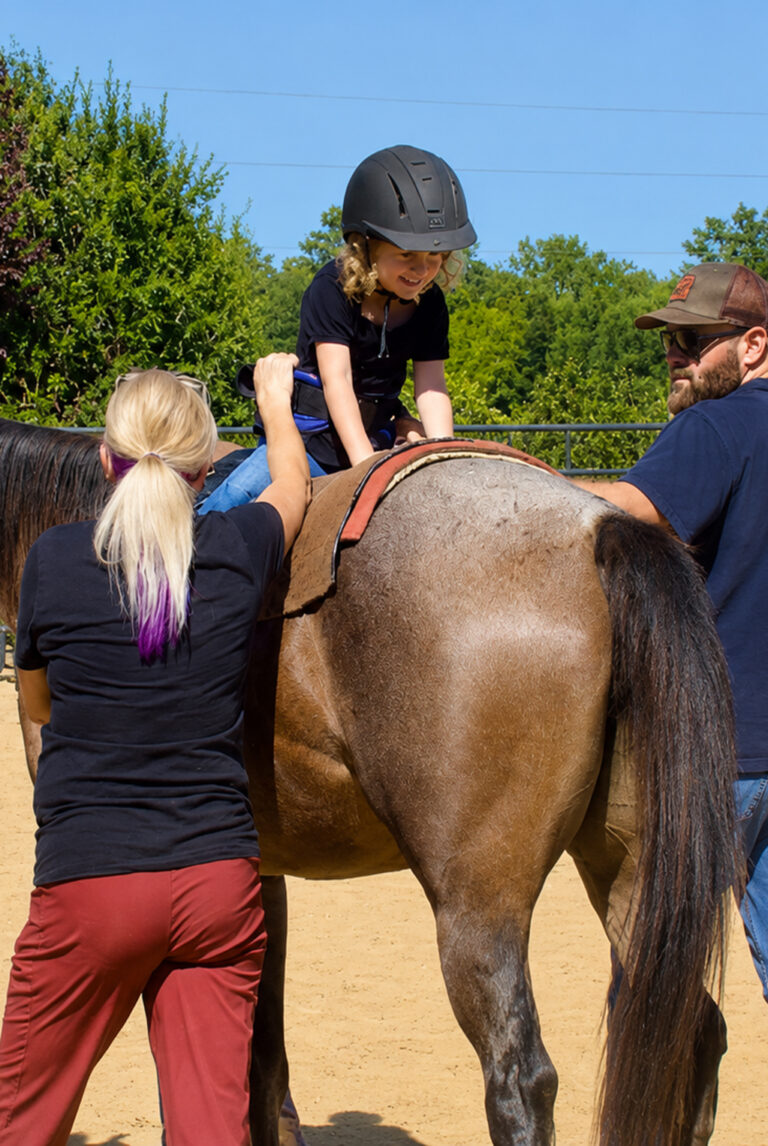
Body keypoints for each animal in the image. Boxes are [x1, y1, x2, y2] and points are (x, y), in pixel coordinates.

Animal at [0, 416, 741, 1146]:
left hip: (479, 907)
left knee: (520, 1080)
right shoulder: (257, 873)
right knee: (695, 1033)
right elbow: (260, 1058)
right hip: (630, 869)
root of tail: (597, 529)